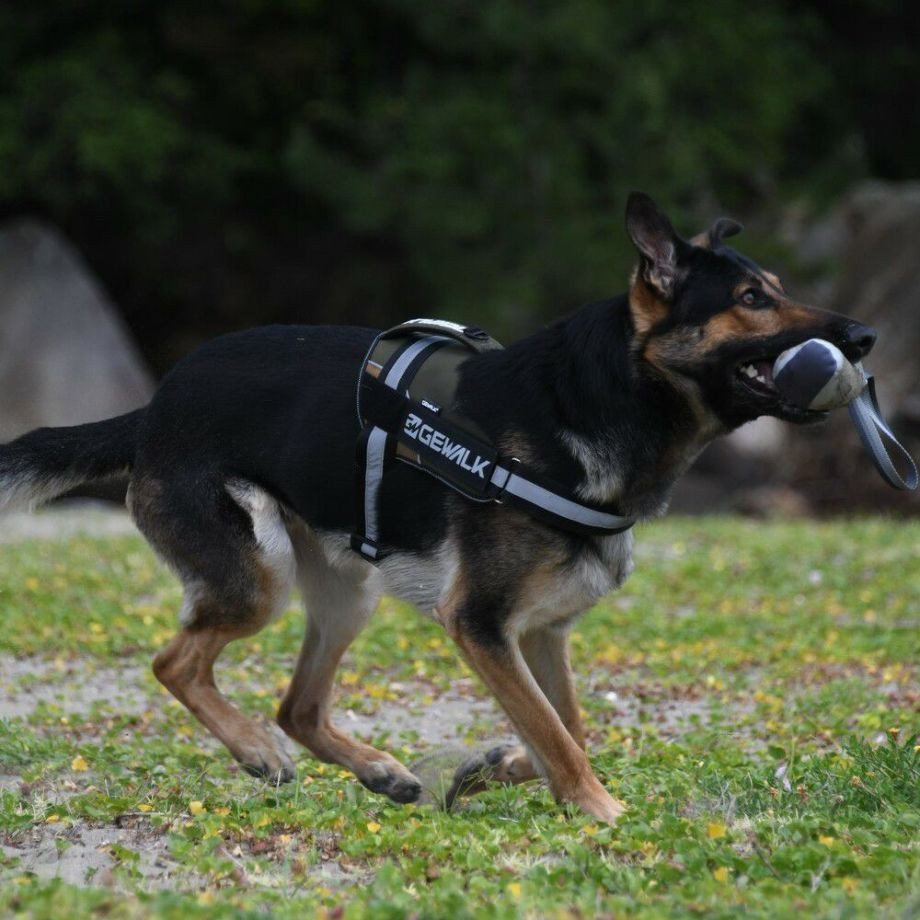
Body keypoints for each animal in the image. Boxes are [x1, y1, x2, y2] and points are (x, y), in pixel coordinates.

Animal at [1, 196, 876, 828]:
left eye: (775, 287)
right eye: (752, 299)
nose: (863, 338)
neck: (600, 400)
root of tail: (154, 407)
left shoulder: (541, 632)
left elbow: (564, 726)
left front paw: (498, 771)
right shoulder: (480, 625)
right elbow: (558, 733)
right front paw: (599, 808)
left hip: (348, 593)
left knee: (298, 705)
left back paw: (379, 772)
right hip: (261, 580)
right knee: (176, 664)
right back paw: (255, 751)